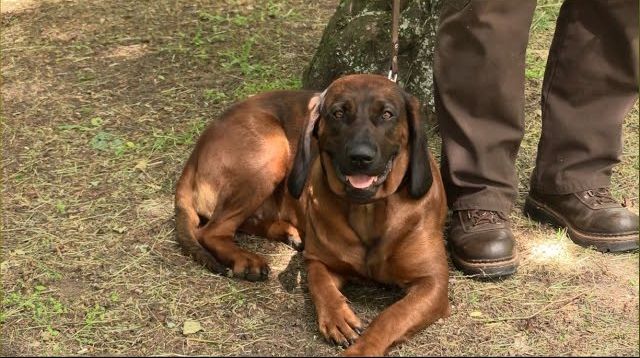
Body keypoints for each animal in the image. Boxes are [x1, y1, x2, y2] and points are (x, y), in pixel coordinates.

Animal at [172, 73, 448, 356]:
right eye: (338, 113)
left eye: (387, 114)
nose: (360, 157)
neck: (367, 209)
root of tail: (195, 152)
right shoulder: (319, 261)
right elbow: (320, 285)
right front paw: (337, 317)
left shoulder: (433, 283)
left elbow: (391, 317)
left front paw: (362, 349)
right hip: (270, 150)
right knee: (212, 231)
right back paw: (246, 259)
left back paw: (287, 232)